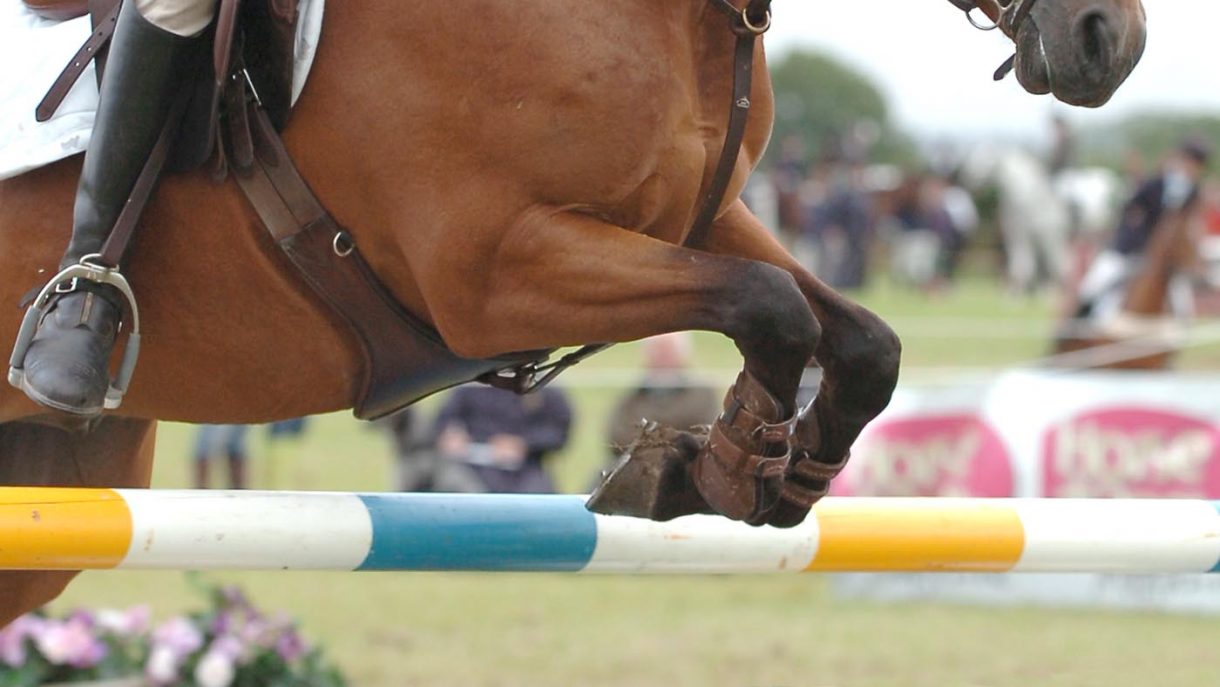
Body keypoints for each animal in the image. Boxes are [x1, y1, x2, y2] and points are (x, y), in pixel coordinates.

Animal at [0, 0, 1148, 624]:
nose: (1111, 42)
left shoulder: (698, 212)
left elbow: (859, 336)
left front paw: (762, 468)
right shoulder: (486, 271)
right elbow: (771, 306)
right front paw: (719, 461)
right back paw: (74, 331)